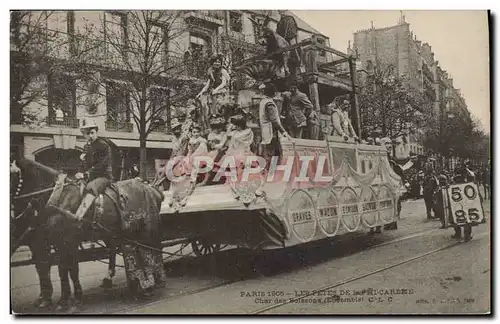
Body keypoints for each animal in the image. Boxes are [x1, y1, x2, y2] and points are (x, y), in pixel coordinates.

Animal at [44, 173, 166, 310]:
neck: (62, 198)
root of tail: (152, 188)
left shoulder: (70, 242)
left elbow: (73, 270)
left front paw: (77, 298)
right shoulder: (59, 244)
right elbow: (62, 271)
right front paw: (63, 300)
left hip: (149, 228)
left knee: (154, 249)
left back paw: (157, 281)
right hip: (112, 233)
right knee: (116, 251)